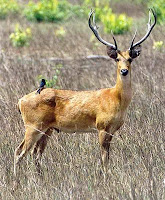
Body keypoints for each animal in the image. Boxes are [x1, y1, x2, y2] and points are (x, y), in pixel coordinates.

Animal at [13, 9, 156, 181]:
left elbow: (107, 157)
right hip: (33, 125)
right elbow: (104, 158)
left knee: (35, 154)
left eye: (130, 59)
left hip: (47, 129)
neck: (116, 99)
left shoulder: (112, 130)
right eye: (117, 59)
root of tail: (20, 101)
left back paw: (40, 179)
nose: (124, 71)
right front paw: (105, 179)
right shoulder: (101, 126)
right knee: (19, 151)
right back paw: (16, 181)